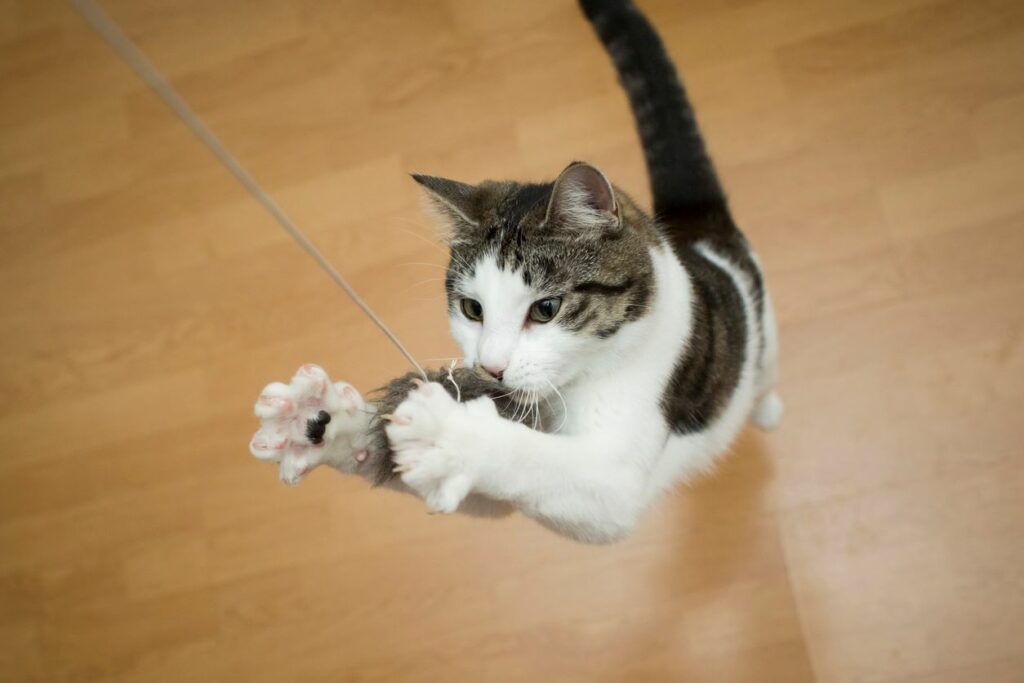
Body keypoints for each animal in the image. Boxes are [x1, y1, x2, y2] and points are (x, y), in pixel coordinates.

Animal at [251, 0, 778, 544]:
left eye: (546, 309)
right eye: (471, 308)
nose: (491, 369)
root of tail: (698, 232)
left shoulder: (623, 458)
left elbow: (558, 470)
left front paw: (452, 433)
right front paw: (318, 422)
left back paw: (764, 407)